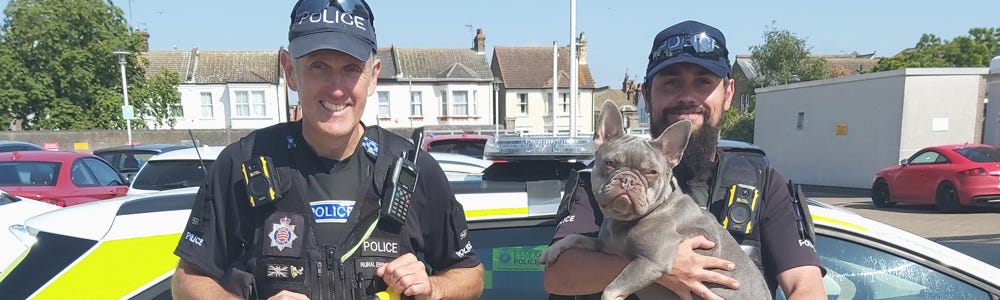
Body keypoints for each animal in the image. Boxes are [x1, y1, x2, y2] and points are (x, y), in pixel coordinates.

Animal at [540, 101, 764, 300]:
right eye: (610, 163)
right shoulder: (604, 247)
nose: (628, 180)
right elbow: (576, 237)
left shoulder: (652, 261)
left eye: (651, 172)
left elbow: (612, 288)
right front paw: (552, 250)